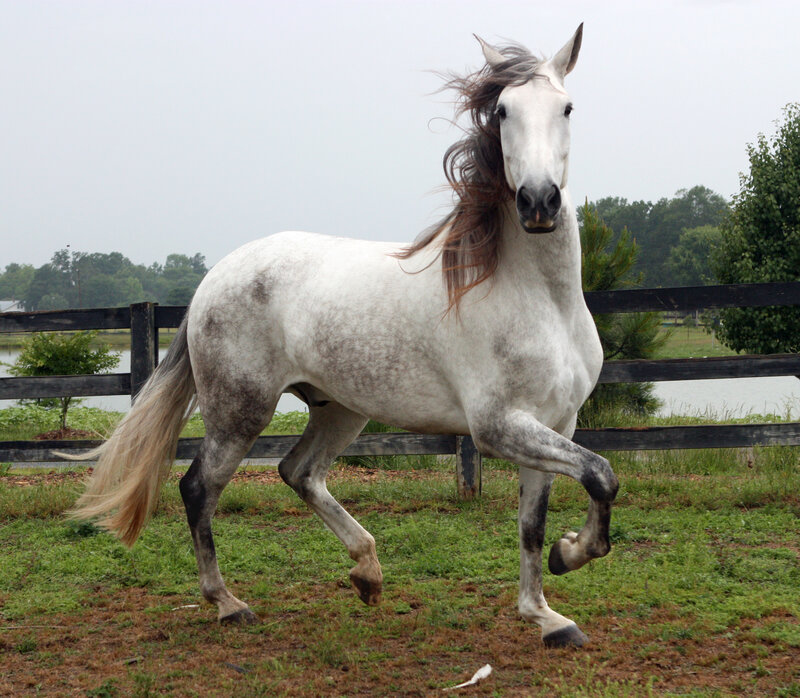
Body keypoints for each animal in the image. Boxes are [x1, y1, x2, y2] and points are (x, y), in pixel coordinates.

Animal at [70, 23, 619, 648]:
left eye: (567, 107)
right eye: (503, 110)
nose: (538, 202)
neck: (538, 298)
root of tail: (215, 275)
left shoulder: (556, 422)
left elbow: (536, 521)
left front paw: (547, 611)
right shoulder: (498, 427)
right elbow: (601, 475)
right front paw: (571, 555)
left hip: (340, 409)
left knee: (299, 472)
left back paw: (367, 573)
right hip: (240, 412)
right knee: (198, 488)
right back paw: (229, 603)